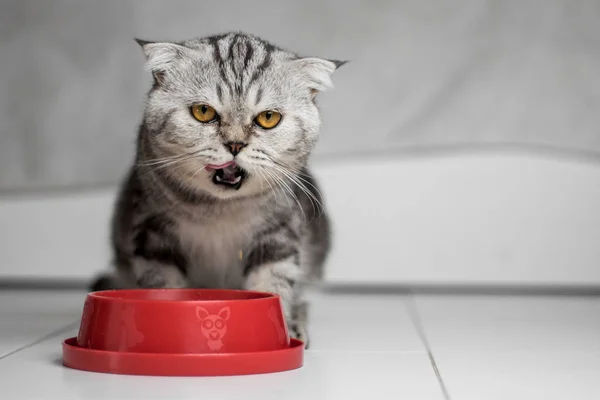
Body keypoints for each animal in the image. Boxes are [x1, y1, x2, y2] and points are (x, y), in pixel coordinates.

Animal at [88, 32, 342, 344]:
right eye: (203, 111)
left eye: (268, 118)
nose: (235, 144)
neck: (220, 212)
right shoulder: (153, 236)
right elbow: (164, 287)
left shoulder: (279, 236)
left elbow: (274, 286)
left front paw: (279, 329)